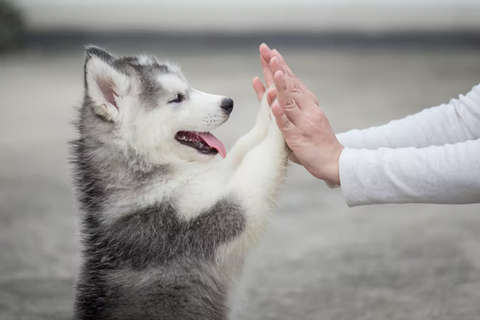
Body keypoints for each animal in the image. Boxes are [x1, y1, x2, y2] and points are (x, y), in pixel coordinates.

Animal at [71, 46, 288, 320]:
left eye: (188, 87)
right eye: (177, 98)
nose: (228, 103)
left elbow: (241, 149)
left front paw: (269, 106)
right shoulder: (207, 220)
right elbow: (257, 165)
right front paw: (282, 118)